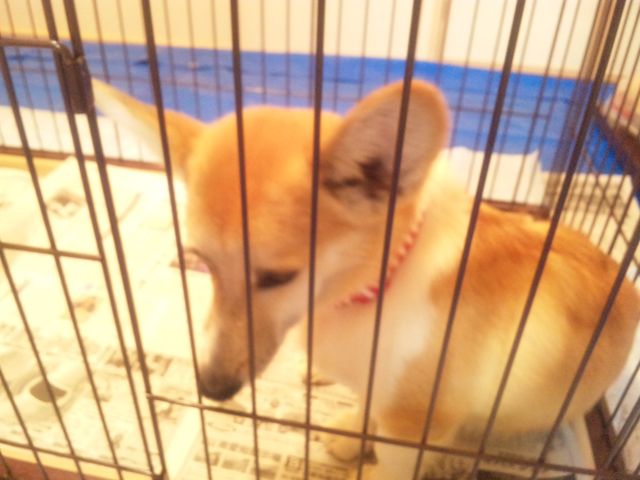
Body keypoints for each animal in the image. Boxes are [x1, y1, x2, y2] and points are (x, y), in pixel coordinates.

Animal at [93, 79, 640, 479]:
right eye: (198, 260)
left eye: (277, 276)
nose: (212, 389)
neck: (366, 292)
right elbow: (363, 407)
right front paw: (349, 428)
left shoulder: (414, 425)